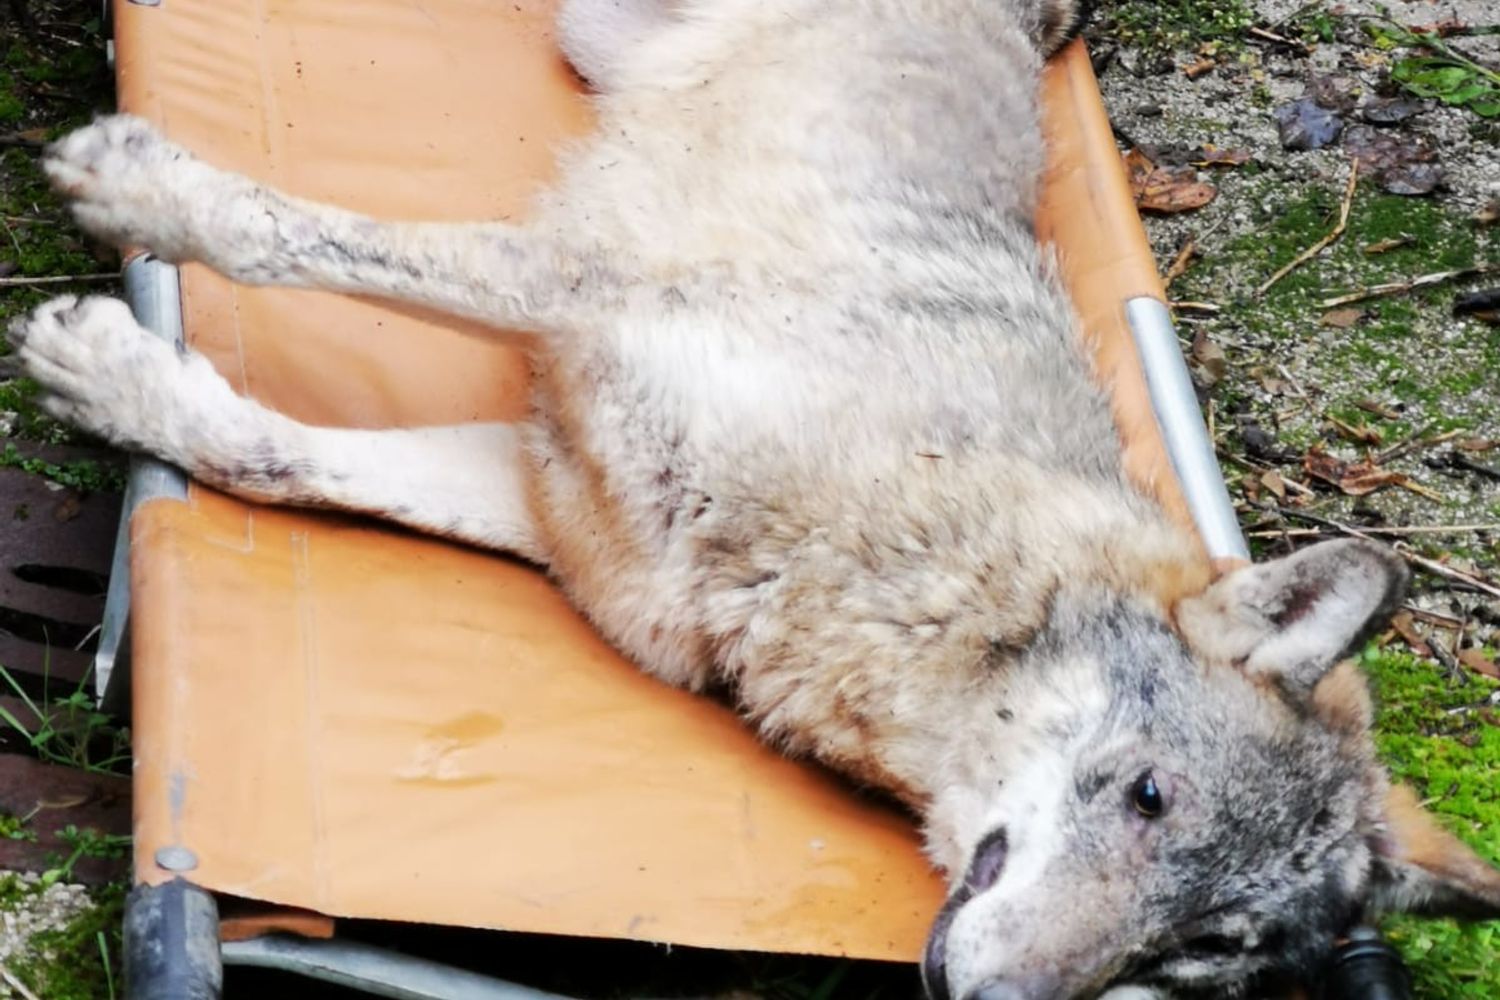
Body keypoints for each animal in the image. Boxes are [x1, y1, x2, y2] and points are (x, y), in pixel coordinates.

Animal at [10, 0, 1500, 996]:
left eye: (1201, 954)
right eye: (1146, 797)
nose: (986, 998)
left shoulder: (548, 505)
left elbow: (273, 456)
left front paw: (118, 376)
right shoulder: (573, 286)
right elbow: (285, 233)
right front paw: (131, 191)